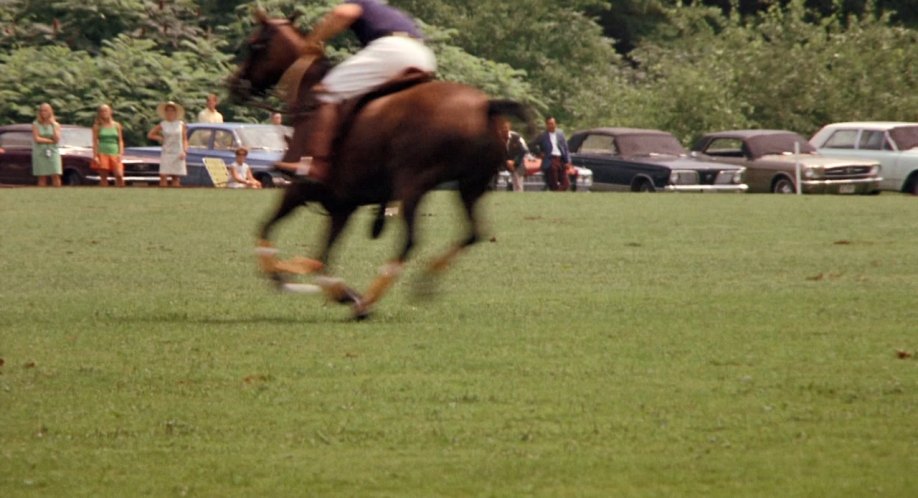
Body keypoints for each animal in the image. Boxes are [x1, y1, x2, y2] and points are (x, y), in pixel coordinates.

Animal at [226, 11, 536, 320]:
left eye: (254, 45)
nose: (234, 84)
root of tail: (486, 107)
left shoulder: (300, 189)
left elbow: (266, 231)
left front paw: (285, 279)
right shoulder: (341, 205)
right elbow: (323, 258)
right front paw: (342, 292)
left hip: (413, 181)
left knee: (410, 240)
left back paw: (369, 300)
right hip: (471, 184)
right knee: (472, 233)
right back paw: (418, 283)